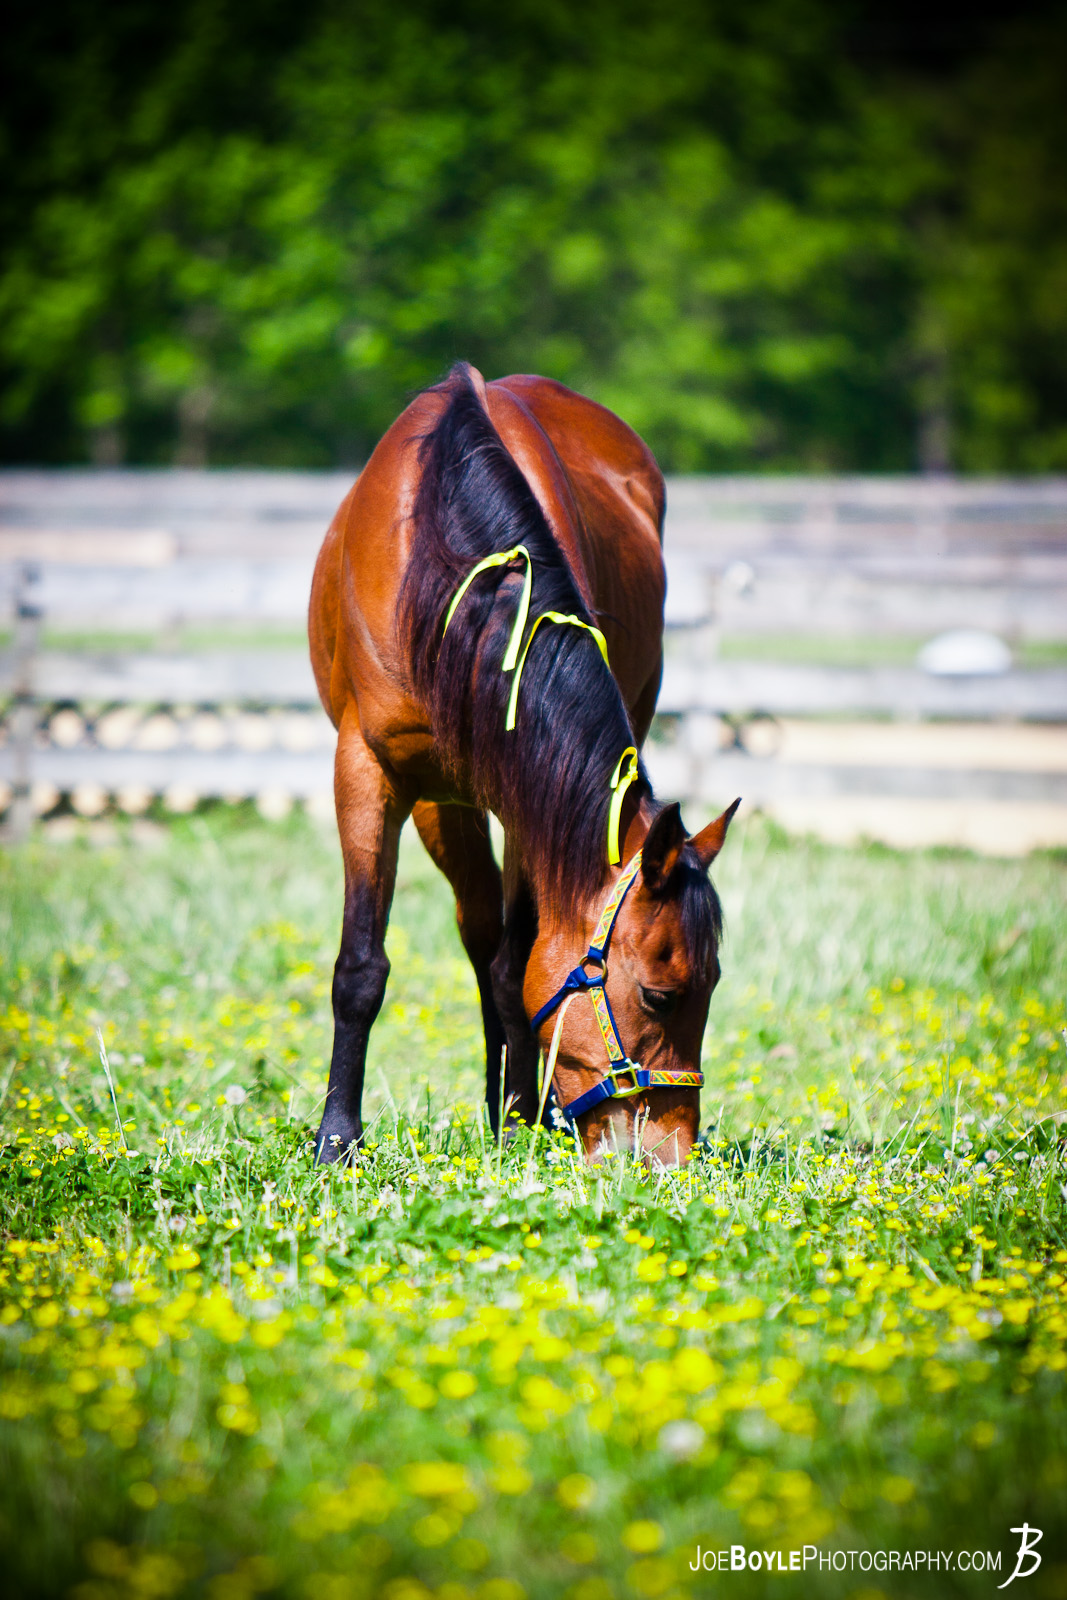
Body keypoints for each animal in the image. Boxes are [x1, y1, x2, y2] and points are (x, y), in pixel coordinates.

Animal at [308, 362, 738, 1166]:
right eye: (660, 995)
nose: (670, 1156)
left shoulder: (531, 798)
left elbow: (518, 968)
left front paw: (516, 1119)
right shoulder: (369, 772)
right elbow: (362, 965)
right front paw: (337, 1138)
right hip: (442, 804)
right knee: (477, 937)